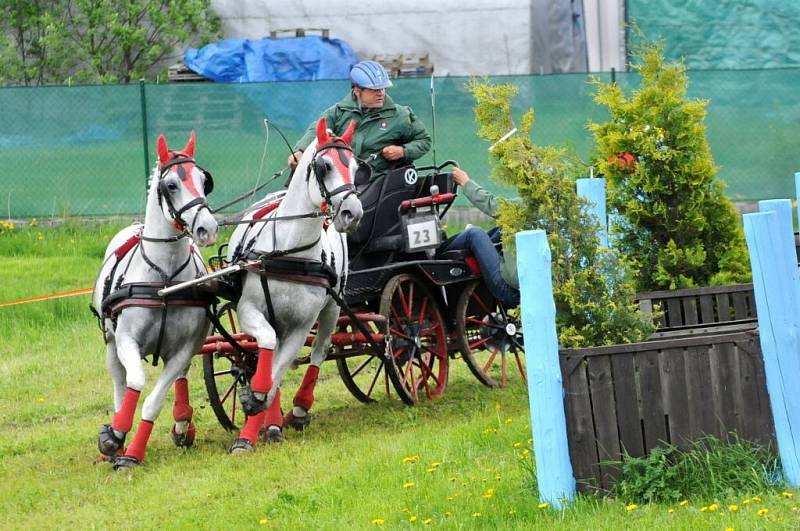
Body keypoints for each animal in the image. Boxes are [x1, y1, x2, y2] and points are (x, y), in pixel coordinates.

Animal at [92, 132, 219, 470]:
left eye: (204, 181)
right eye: (171, 185)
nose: (208, 228)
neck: (162, 279)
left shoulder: (185, 348)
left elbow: (154, 401)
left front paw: (134, 452)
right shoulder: (126, 340)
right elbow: (135, 381)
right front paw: (115, 435)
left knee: (181, 380)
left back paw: (183, 424)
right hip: (111, 343)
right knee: (120, 382)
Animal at [225, 117, 362, 454]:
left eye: (356, 167)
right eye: (325, 166)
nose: (352, 213)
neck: (289, 253)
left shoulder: (301, 326)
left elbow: (277, 374)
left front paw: (256, 411)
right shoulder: (249, 311)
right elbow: (267, 352)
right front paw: (252, 425)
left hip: (331, 308)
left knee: (320, 351)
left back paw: (298, 409)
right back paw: (273, 422)